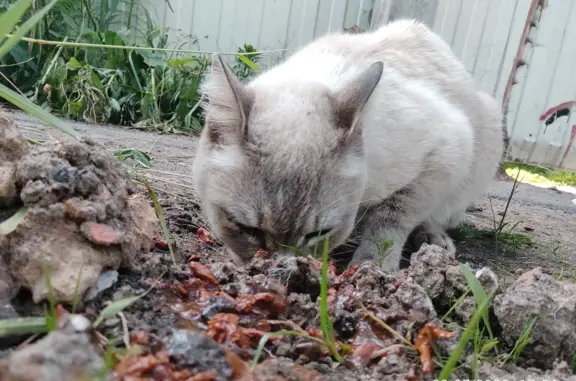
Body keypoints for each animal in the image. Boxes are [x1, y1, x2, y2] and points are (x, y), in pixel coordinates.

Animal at [192, 18, 504, 270]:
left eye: (318, 234)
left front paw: (372, 266)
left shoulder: (448, 148)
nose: (280, 266)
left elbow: (391, 218)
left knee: (440, 214)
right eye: (247, 229)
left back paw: (432, 238)